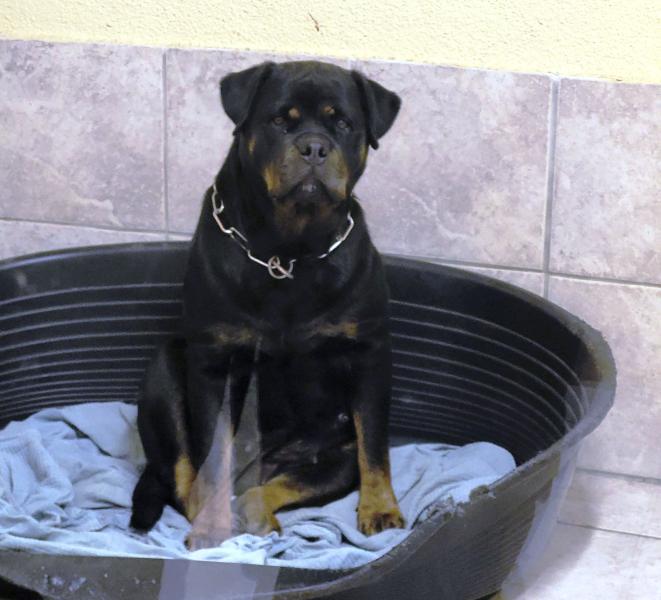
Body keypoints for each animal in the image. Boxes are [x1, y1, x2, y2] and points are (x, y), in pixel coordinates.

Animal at [130, 60, 405, 550]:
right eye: (280, 120)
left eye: (342, 123)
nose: (314, 147)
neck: (288, 251)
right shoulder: (213, 362)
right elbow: (211, 456)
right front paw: (212, 526)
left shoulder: (370, 351)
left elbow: (374, 445)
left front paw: (380, 508)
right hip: (165, 372)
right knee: (188, 480)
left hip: (332, 457)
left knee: (272, 486)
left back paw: (258, 515)